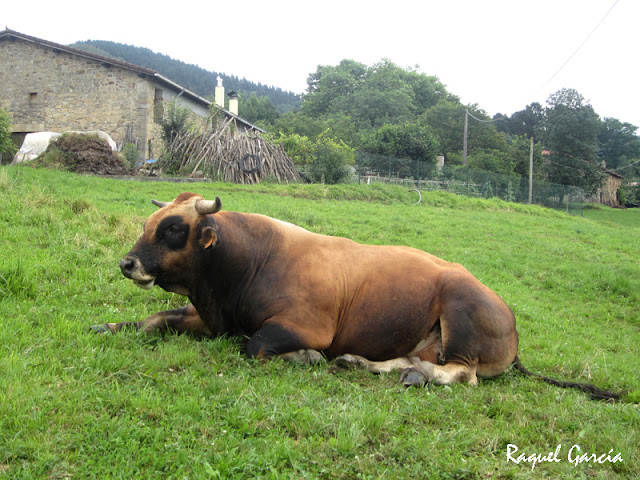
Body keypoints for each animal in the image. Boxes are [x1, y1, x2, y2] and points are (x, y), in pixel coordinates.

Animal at [97, 193, 624, 400]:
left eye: (173, 229)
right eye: (149, 222)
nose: (128, 263)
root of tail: (509, 320)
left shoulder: (303, 326)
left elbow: (256, 346)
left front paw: (306, 358)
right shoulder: (206, 317)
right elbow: (153, 319)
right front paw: (109, 325)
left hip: (460, 316)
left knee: (462, 374)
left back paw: (413, 374)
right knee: (409, 359)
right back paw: (366, 364)